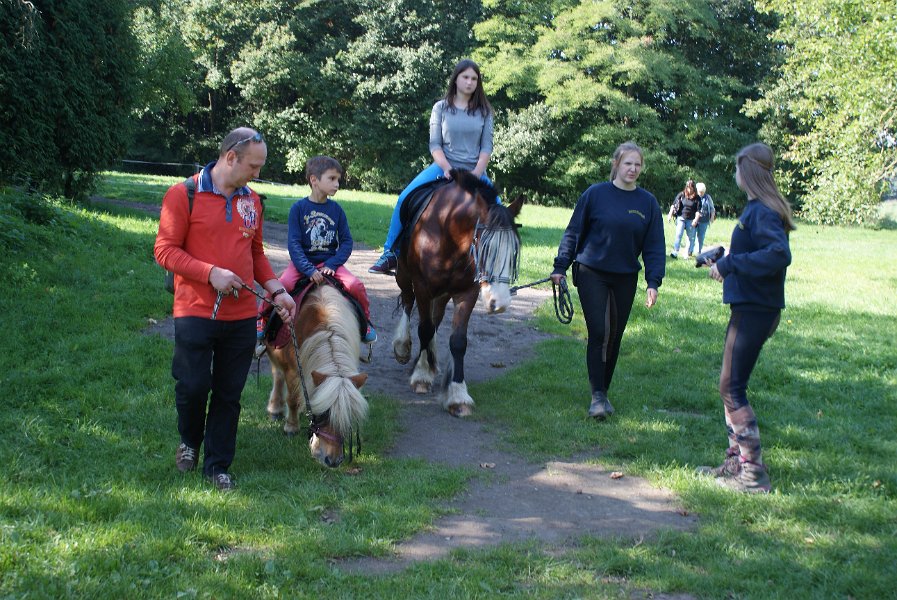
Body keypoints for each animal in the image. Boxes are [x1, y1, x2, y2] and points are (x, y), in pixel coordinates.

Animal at [266, 284, 369, 468]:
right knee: (278, 376)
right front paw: (291, 427)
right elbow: (292, 399)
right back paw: (275, 409)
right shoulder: (292, 370)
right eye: (322, 414)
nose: (333, 461)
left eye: (349, 417)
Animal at [392, 169, 523, 417]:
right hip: (404, 275)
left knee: (434, 319)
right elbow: (423, 329)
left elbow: (458, 341)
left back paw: (430, 360)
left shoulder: (467, 292)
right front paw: (421, 376)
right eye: (485, 248)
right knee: (407, 301)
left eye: (514, 251)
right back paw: (403, 347)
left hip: (442, 294)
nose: (499, 303)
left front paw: (457, 394)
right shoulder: (422, 286)